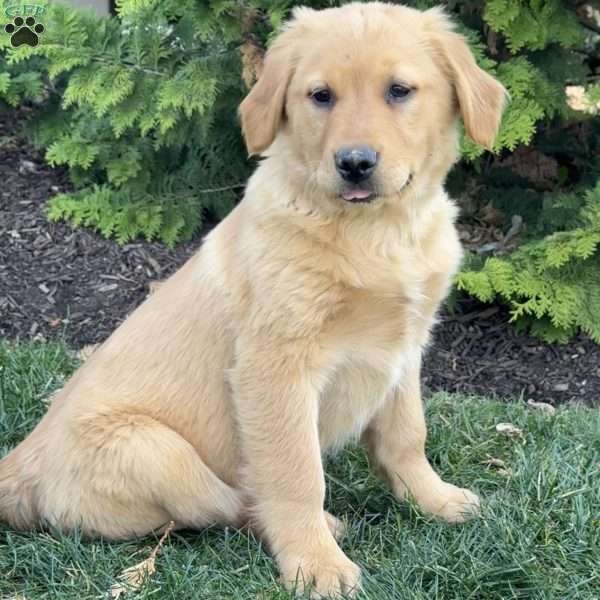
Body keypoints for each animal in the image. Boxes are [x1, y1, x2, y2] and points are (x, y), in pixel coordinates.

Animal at [1, 2, 506, 596]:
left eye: (399, 90)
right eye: (321, 96)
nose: (354, 163)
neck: (376, 231)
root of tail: (21, 462)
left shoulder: (404, 347)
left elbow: (407, 436)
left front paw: (434, 499)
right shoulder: (274, 368)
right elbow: (296, 475)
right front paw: (315, 563)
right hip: (156, 451)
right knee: (230, 503)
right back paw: (326, 527)